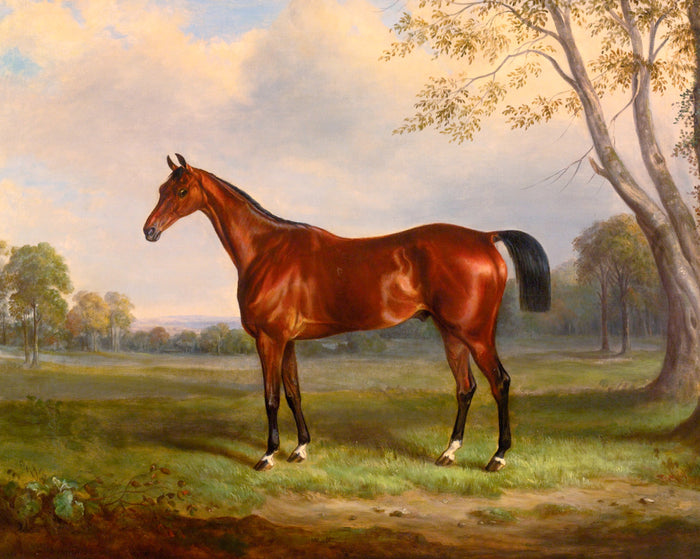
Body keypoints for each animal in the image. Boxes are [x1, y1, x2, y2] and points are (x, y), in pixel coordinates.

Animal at [144, 154, 550, 472]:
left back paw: (497, 457)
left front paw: (268, 455)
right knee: (465, 388)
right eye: (161, 190)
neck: (267, 249)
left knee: (500, 382)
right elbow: (293, 393)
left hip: (476, 334)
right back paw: (448, 453)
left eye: (181, 192)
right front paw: (300, 448)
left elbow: (271, 397)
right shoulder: (287, 341)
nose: (149, 230)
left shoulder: (269, 340)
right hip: (452, 335)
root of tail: (484, 237)